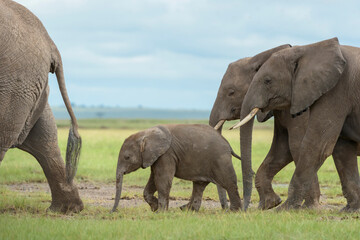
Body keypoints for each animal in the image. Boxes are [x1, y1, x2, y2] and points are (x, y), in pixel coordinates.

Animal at [112, 124, 242, 212]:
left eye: (127, 157)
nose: (112, 212)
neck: (147, 133)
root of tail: (228, 144)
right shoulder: (157, 156)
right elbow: (154, 179)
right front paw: (155, 208)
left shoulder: (167, 154)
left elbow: (162, 180)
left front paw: (160, 212)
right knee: (199, 185)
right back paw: (187, 210)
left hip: (220, 159)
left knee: (229, 183)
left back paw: (233, 211)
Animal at [208, 44, 320, 210]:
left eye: (231, 92)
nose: (229, 208)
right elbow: (283, 149)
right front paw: (269, 204)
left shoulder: (299, 109)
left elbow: (297, 146)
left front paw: (309, 207)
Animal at [233, 37, 360, 212]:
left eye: (268, 81)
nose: (243, 209)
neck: (307, 49)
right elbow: (342, 149)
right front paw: (350, 211)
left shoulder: (337, 91)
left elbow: (317, 146)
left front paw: (282, 210)